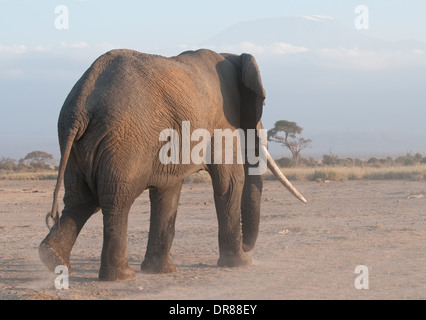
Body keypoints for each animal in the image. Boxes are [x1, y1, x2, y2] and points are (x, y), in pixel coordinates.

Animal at [39, 48, 306, 282]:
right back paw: (121, 277)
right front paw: (241, 264)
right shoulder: (222, 119)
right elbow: (230, 180)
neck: (230, 56)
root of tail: (80, 105)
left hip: (79, 144)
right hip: (124, 141)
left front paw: (160, 271)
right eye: (262, 105)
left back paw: (52, 261)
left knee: (80, 200)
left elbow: (168, 189)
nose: (248, 247)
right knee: (116, 200)